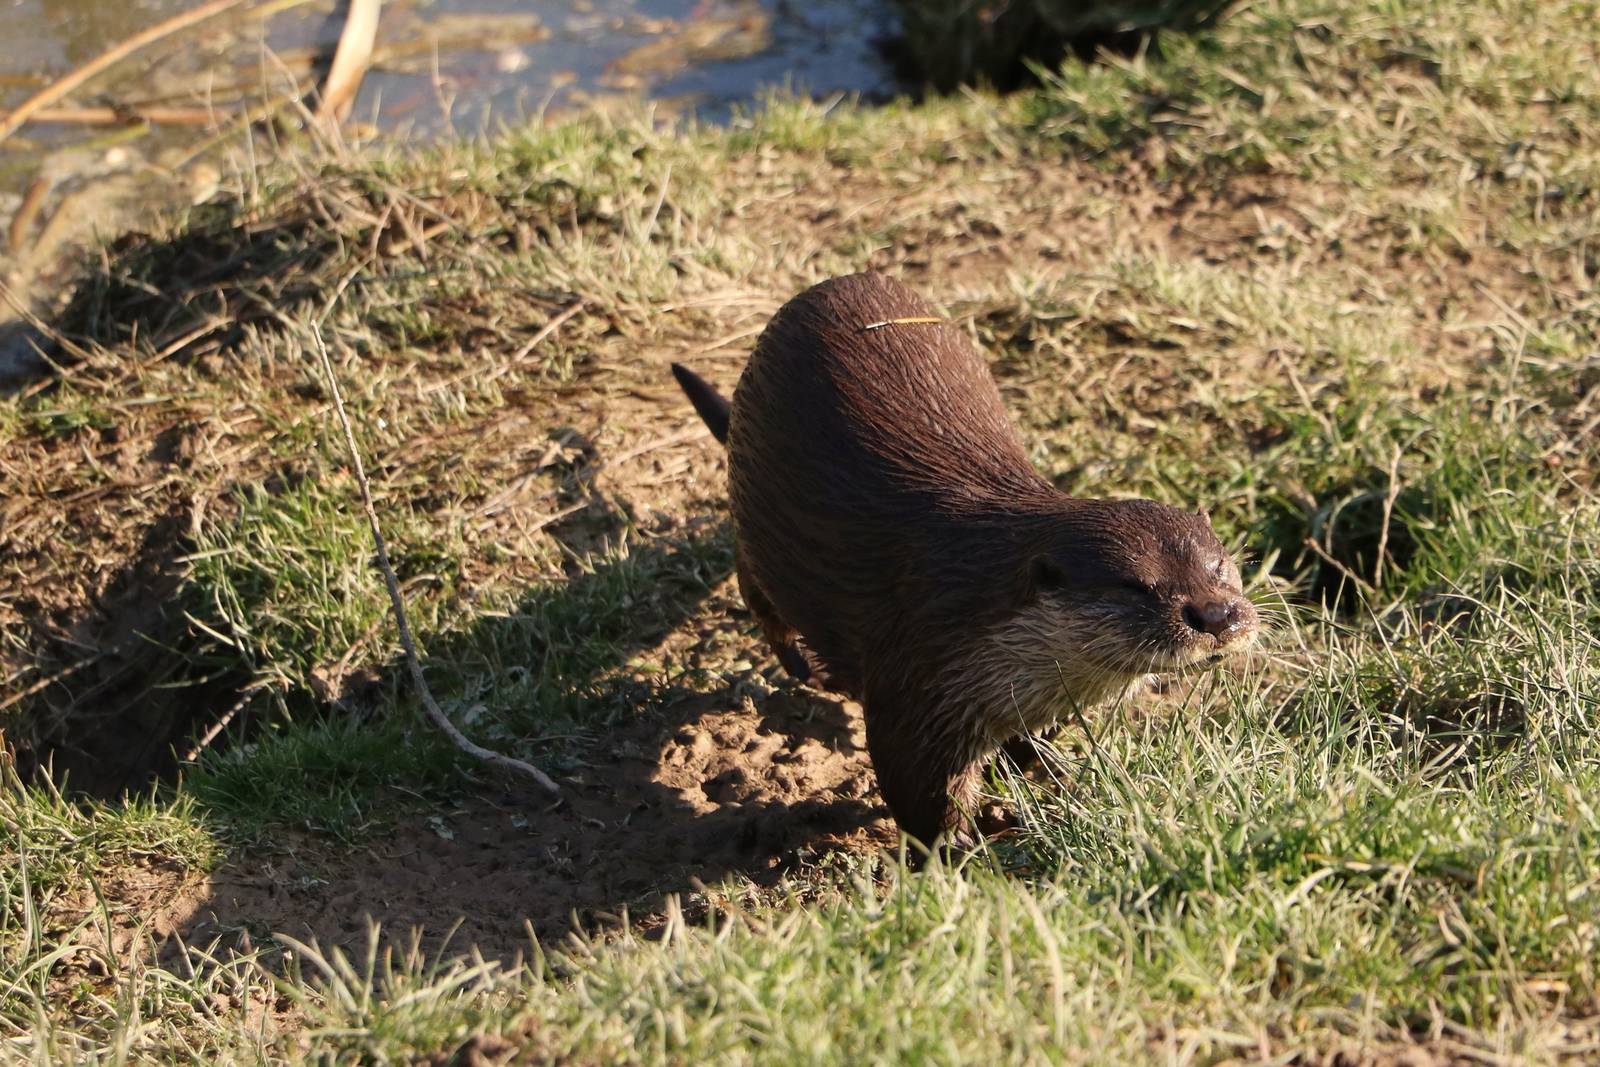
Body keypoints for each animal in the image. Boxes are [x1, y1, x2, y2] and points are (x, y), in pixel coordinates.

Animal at [671, 272, 1258, 847]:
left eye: (1220, 567)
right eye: (1136, 584)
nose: (1216, 615)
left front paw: (1043, 768)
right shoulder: (919, 679)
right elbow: (922, 804)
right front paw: (967, 851)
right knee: (754, 582)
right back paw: (801, 664)